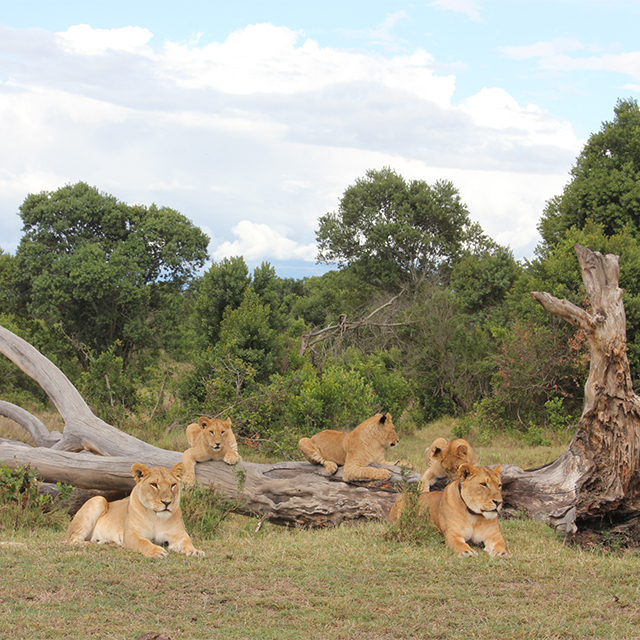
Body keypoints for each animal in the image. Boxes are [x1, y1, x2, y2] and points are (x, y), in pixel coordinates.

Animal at [66, 463, 204, 559]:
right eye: (154, 485)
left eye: (173, 485)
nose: (167, 502)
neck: (156, 517)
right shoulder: (131, 535)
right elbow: (144, 543)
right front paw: (157, 551)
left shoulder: (178, 534)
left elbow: (187, 541)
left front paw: (195, 551)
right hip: (98, 500)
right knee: (73, 540)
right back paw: (92, 544)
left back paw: (105, 541)